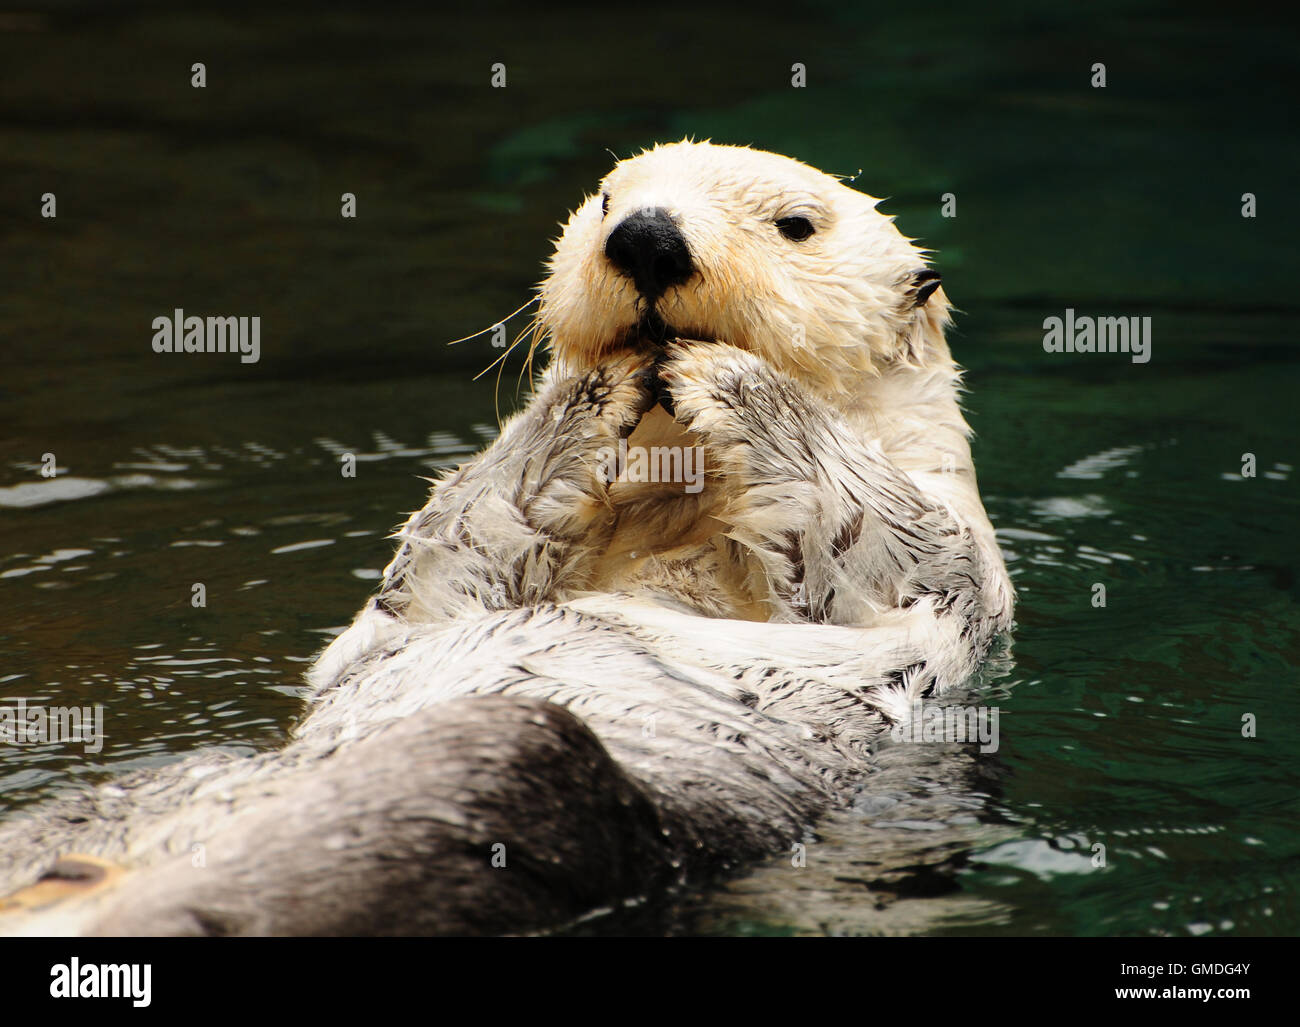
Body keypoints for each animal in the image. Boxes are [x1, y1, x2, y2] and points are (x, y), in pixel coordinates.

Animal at [0, 141, 1013, 935]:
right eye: (606, 198)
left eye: (796, 224)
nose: (646, 235)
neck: (677, 504)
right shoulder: (423, 599)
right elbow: (452, 549)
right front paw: (588, 394)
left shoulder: (947, 561)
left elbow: (877, 534)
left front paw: (732, 379)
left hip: (510, 780)